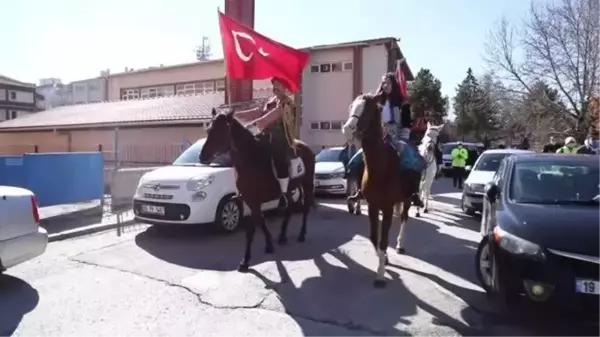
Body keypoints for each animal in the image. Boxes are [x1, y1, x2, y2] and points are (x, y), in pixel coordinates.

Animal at [199, 109, 316, 272]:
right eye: (209, 130)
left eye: (220, 131)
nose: (202, 156)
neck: (251, 159)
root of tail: (305, 147)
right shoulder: (250, 200)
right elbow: (261, 221)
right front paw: (269, 245)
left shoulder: (254, 200)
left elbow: (251, 230)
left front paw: (245, 261)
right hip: (290, 189)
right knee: (290, 207)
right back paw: (282, 236)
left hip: (307, 183)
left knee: (305, 207)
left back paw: (301, 235)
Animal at [340, 91, 420, 286]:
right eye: (351, 106)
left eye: (367, 108)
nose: (347, 129)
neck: (381, 167)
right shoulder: (373, 206)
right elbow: (374, 237)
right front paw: (383, 260)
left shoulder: (388, 207)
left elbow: (383, 241)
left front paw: (381, 275)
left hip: (407, 199)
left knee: (405, 218)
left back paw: (400, 245)